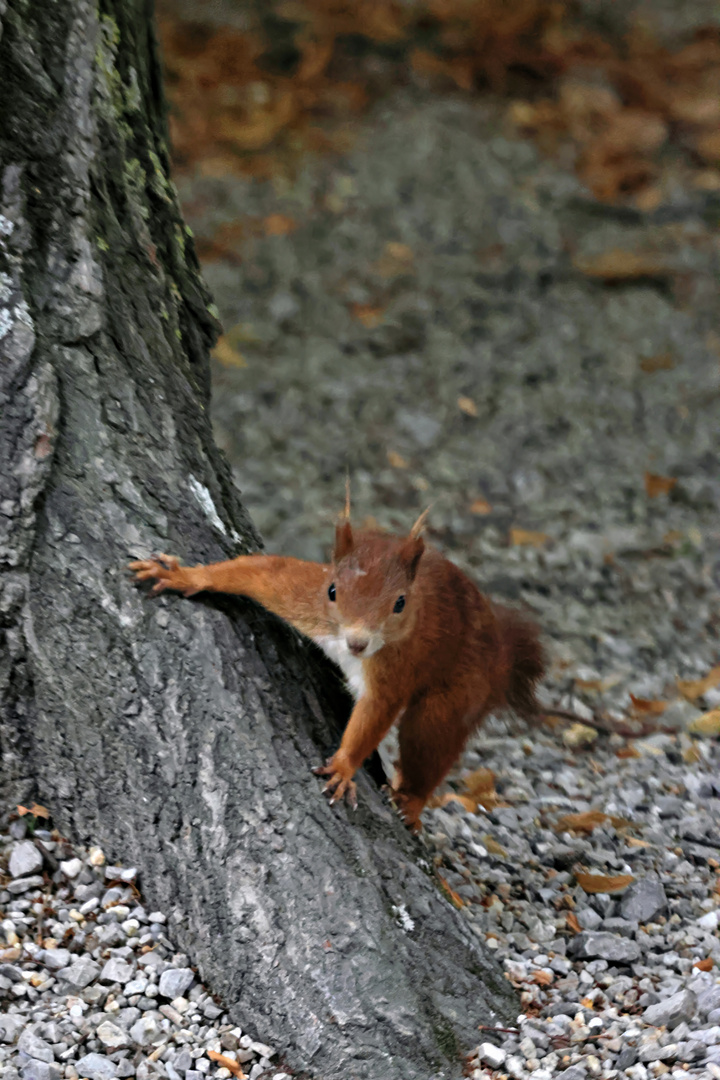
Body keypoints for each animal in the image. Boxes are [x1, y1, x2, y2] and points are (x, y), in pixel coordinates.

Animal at [131, 505, 546, 833]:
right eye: (333, 591)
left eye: (399, 603)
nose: (358, 643)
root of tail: (501, 657)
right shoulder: (304, 597)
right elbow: (262, 571)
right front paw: (185, 576)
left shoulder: (398, 664)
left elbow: (376, 712)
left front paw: (344, 766)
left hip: (459, 690)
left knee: (432, 739)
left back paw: (412, 801)